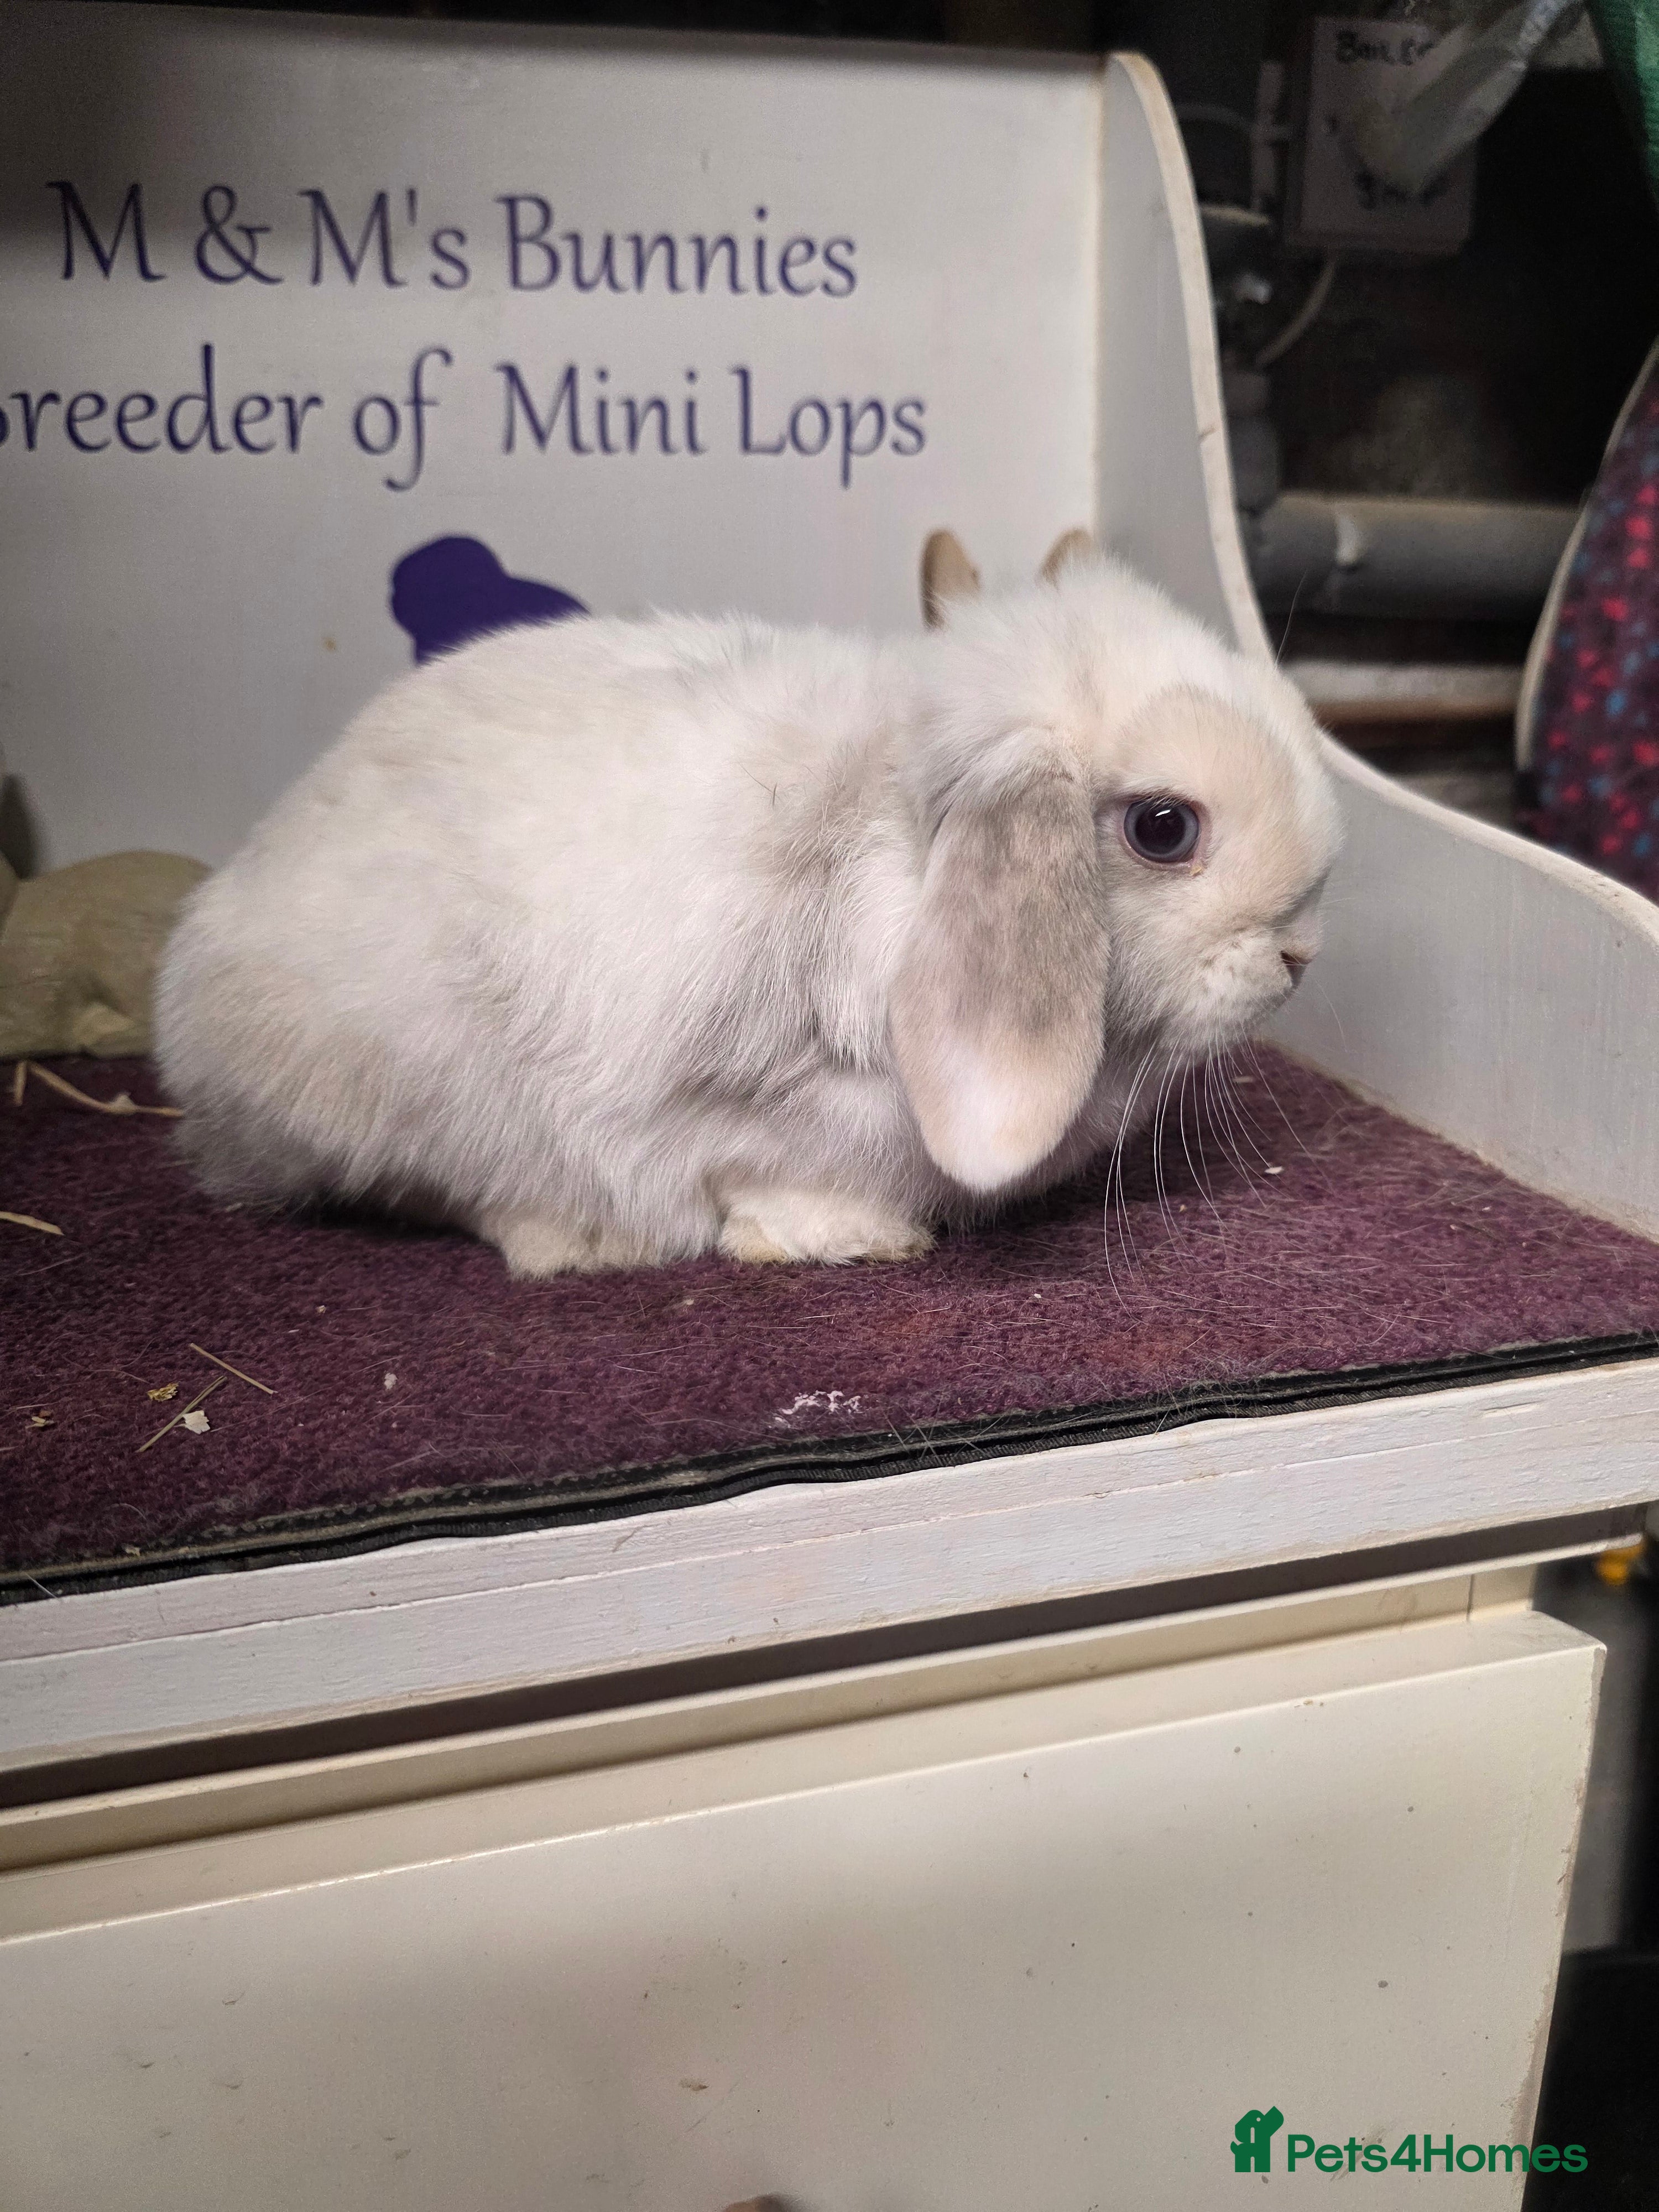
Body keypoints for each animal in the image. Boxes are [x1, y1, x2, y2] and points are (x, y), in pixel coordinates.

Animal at [155, 536, 1341, 1277]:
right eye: (1163, 828)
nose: (1300, 959)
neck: (903, 851)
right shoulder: (750, 1097)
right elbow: (764, 1178)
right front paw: (853, 1241)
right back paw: (579, 1240)